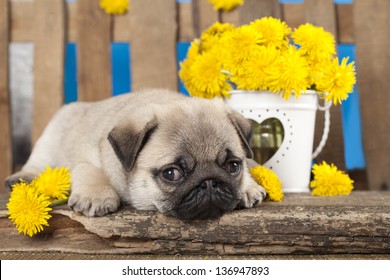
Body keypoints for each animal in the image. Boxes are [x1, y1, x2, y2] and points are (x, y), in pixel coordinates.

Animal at [5, 89, 266, 219]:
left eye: (233, 166)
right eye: (171, 174)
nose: (209, 182)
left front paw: (249, 187)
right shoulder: (88, 159)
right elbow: (90, 172)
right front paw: (96, 197)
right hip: (49, 138)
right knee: (37, 162)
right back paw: (22, 177)